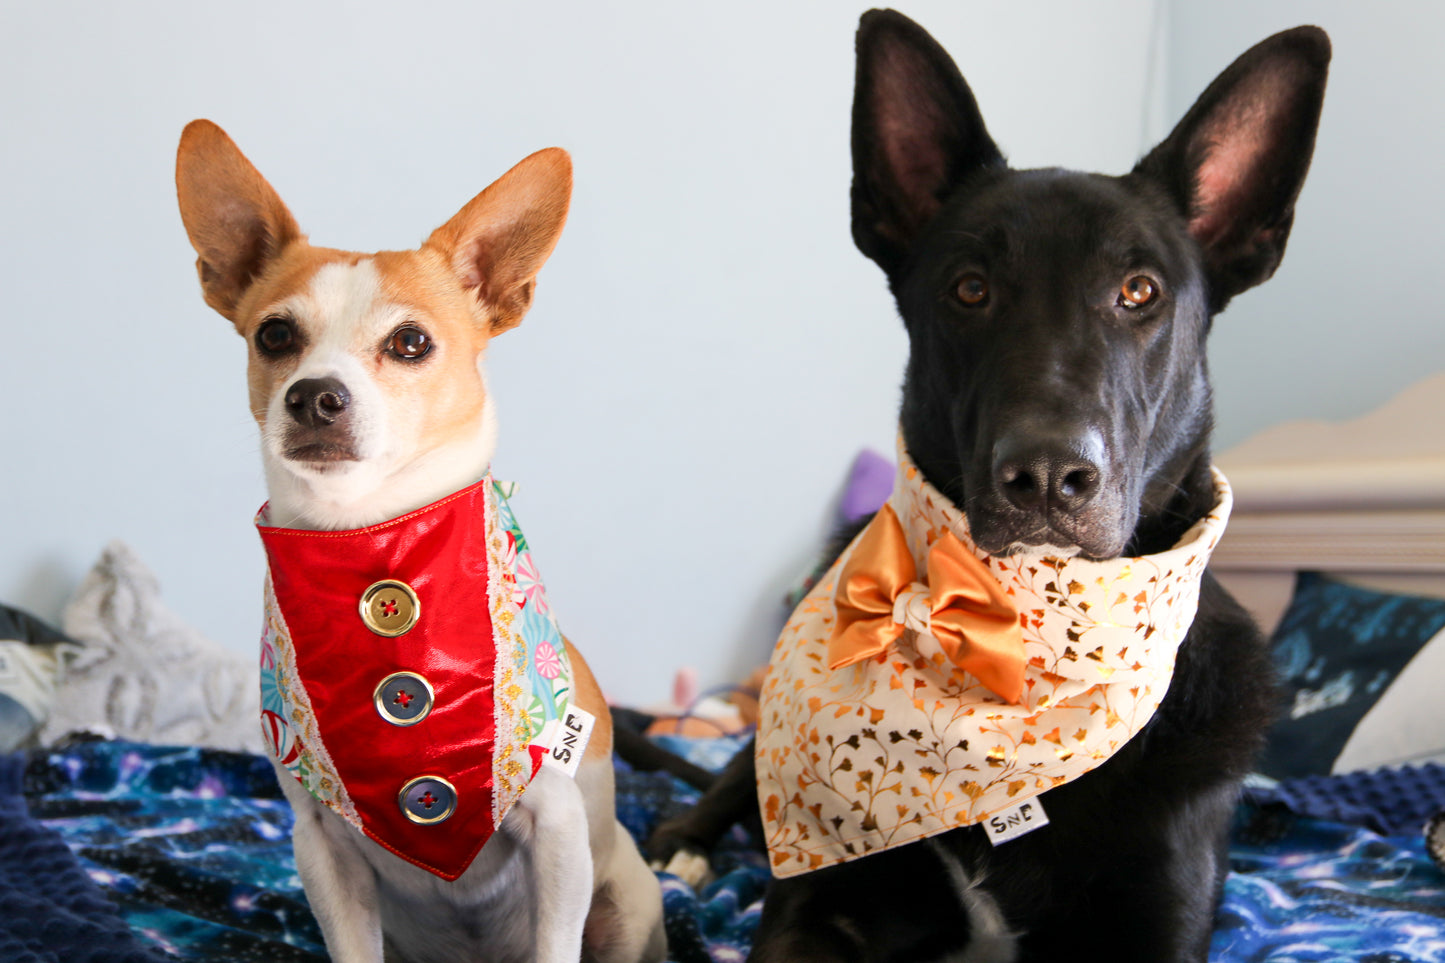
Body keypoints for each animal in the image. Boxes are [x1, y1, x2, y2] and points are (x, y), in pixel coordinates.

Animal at [174, 120, 664, 960]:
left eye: (409, 343)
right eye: (275, 334)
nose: (314, 395)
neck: (374, 545)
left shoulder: (557, 831)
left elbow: (553, 941)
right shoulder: (321, 845)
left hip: (625, 900)